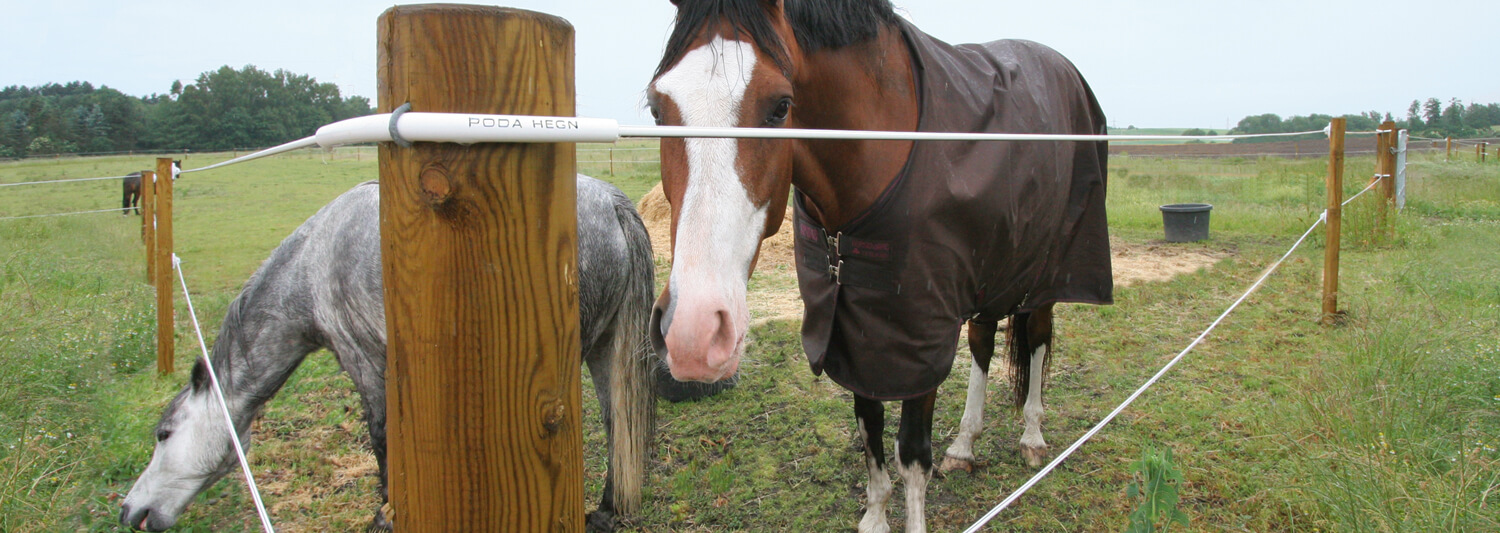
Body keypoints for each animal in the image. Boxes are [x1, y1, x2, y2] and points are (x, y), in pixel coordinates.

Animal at [119, 175, 732, 532]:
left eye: (163, 433)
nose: (130, 511)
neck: (313, 263)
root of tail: (612, 203)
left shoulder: (364, 361)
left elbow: (383, 440)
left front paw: (385, 516)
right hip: (606, 349)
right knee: (617, 422)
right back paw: (603, 511)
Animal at [645, 1, 1111, 531]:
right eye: (657, 108)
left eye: (780, 105)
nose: (694, 334)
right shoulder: (853, 333)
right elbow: (870, 433)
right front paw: (875, 515)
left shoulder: (921, 338)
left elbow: (911, 455)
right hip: (991, 269)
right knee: (982, 344)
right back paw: (965, 444)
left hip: (1047, 273)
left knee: (1036, 339)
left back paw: (1032, 435)